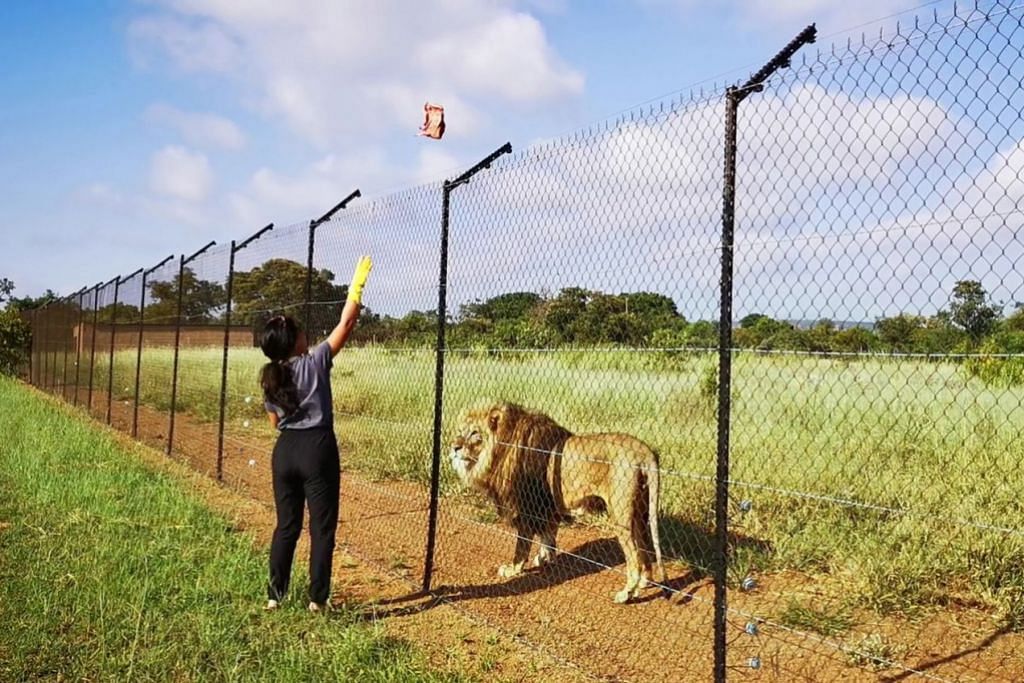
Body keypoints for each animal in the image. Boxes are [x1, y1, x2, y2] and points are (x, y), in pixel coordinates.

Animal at [448, 401, 663, 602]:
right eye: (460, 431)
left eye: (475, 433)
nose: (454, 447)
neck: (500, 450)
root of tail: (644, 451)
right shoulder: (547, 507)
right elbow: (548, 535)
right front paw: (545, 558)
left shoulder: (527, 507)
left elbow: (522, 545)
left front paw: (513, 569)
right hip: (640, 514)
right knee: (644, 548)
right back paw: (644, 582)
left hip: (621, 514)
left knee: (634, 556)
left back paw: (627, 593)